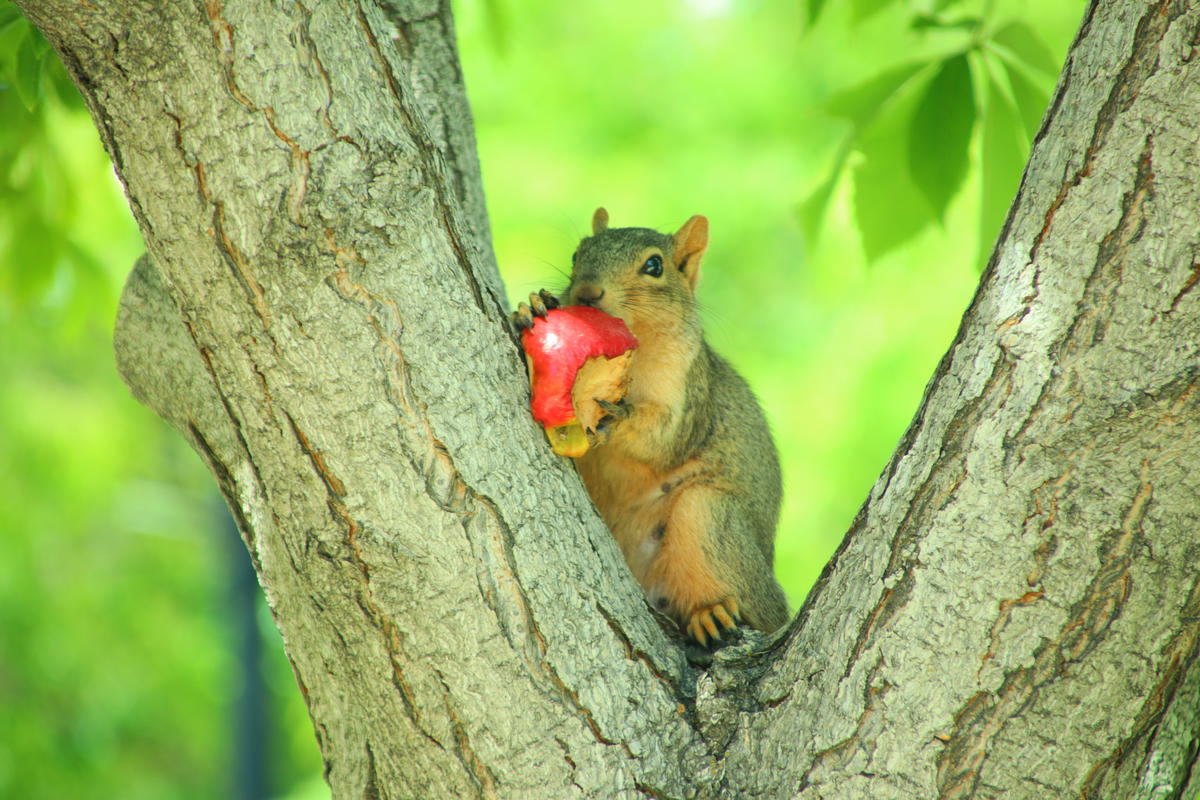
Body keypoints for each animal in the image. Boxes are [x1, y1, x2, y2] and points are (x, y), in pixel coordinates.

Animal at [513, 209, 787, 647]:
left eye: (654, 266)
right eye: (577, 254)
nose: (586, 292)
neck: (636, 346)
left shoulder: (688, 392)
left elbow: (664, 441)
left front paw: (619, 415)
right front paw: (532, 305)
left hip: (707, 513)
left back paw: (710, 614)